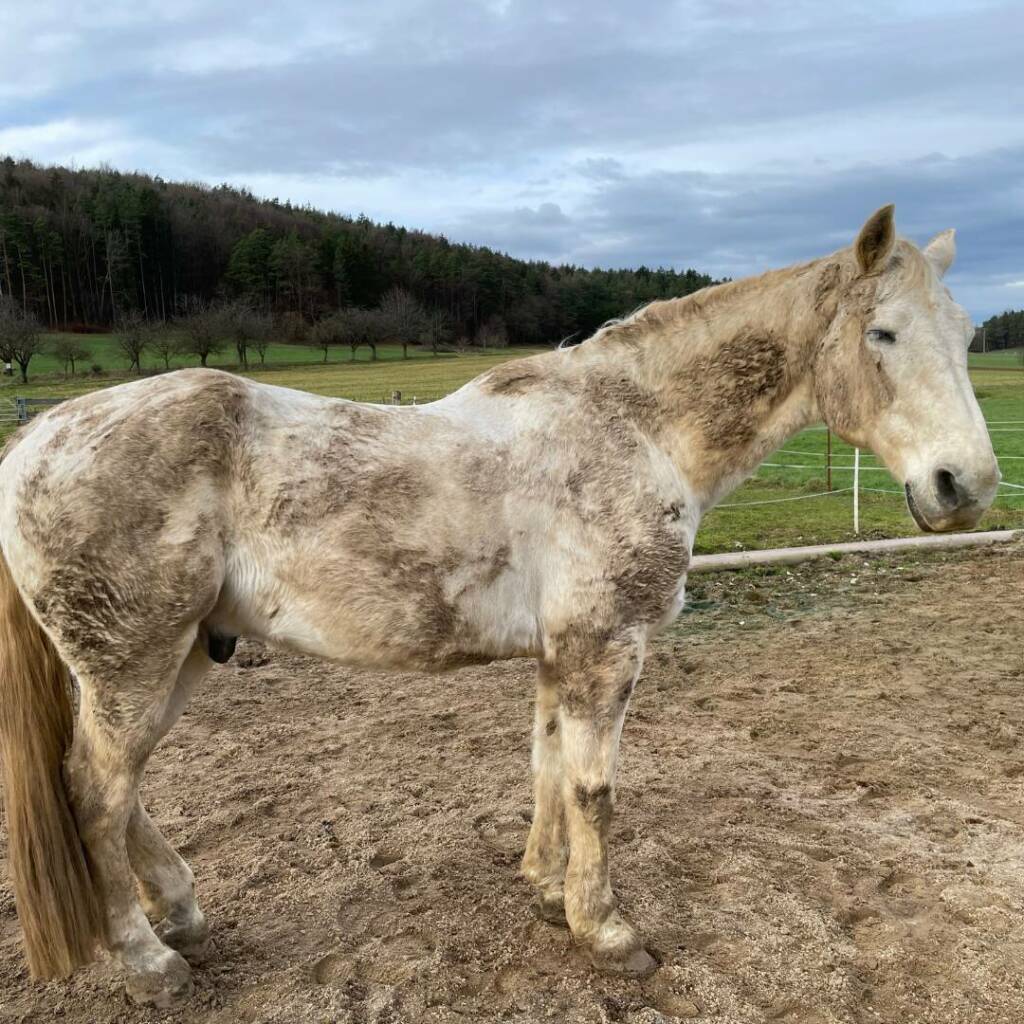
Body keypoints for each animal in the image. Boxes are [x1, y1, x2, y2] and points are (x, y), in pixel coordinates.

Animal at [0, 205, 999, 1007]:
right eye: (884, 334)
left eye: (965, 331)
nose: (968, 485)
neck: (636, 429)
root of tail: (37, 436)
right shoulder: (608, 646)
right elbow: (596, 788)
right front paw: (608, 932)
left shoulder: (564, 653)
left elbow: (548, 767)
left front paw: (548, 890)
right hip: (131, 664)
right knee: (95, 791)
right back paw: (150, 963)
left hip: (178, 658)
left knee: (120, 794)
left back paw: (181, 914)